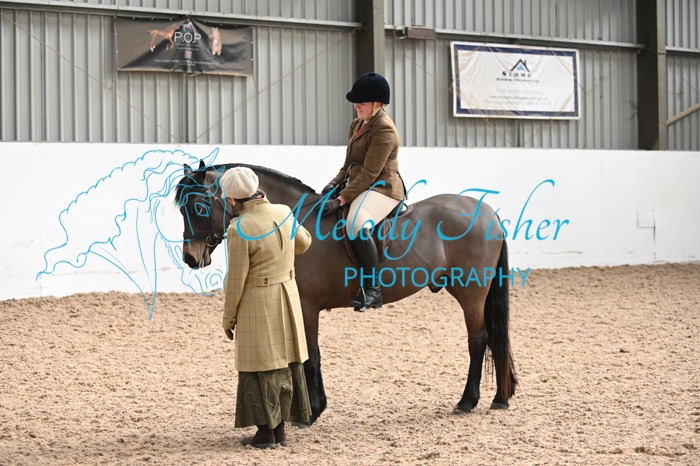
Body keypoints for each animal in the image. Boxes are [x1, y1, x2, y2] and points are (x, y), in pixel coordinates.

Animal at [175, 161, 517, 423]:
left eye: (199, 206)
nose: (190, 258)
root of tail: (488, 212)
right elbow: (305, 356)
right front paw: (311, 409)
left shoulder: (307, 306)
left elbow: (311, 356)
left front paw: (312, 412)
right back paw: (499, 398)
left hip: (471, 293)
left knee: (479, 340)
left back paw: (467, 401)